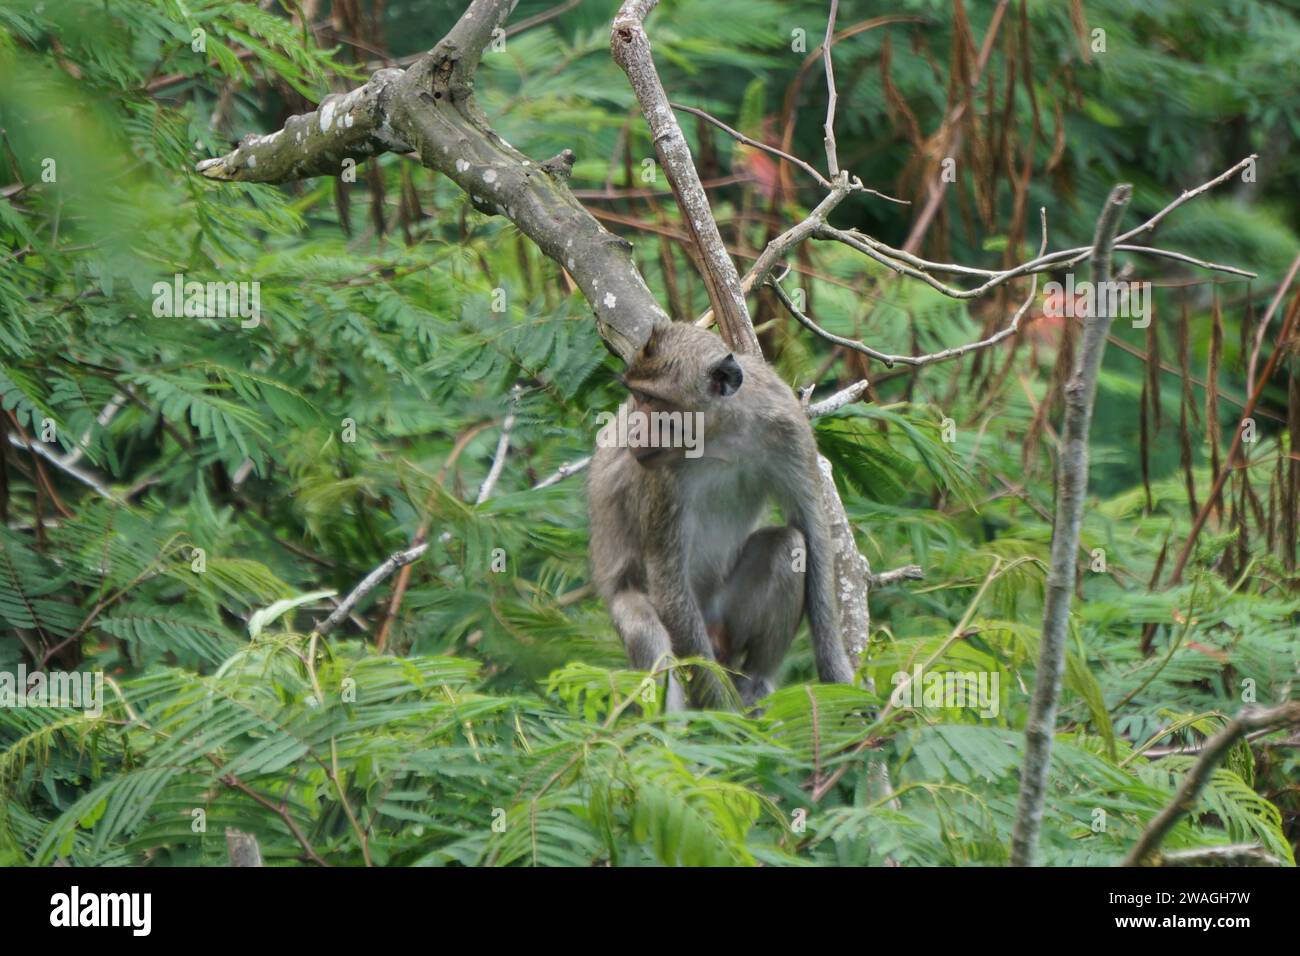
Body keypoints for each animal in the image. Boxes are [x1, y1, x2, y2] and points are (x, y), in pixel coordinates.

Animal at [587, 321, 855, 710]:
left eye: (656, 402)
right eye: (637, 397)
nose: (634, 429)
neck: (721, 435)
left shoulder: (788, 427)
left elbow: (812, 528)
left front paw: (839, 676)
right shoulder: (663, 480)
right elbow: (667, 577)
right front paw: (723, 716)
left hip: (725, 620)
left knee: (789, 547)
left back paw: (756, 682)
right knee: (645, 628)